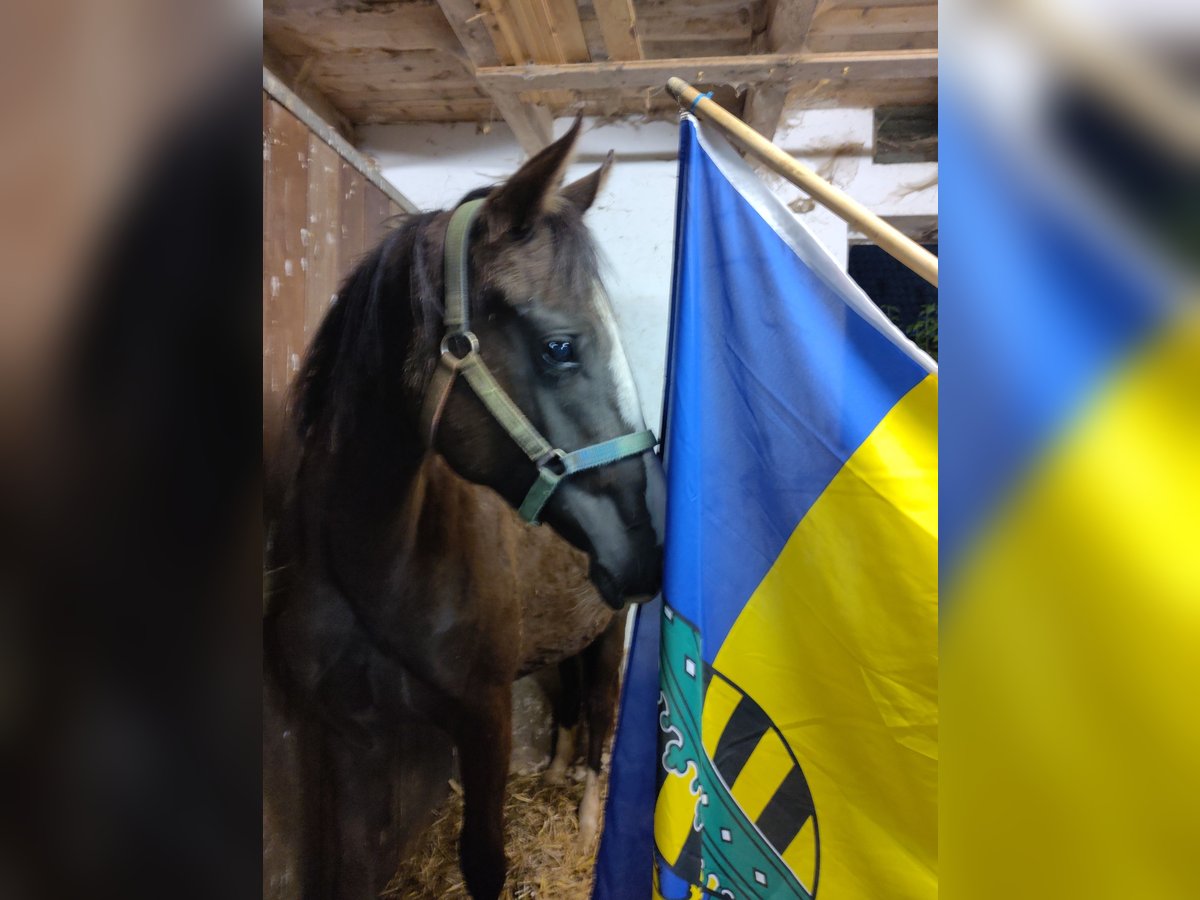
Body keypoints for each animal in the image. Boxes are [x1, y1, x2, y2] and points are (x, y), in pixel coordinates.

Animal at [264, 118, 663, 900]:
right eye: (560, 346)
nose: (648, 539)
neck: (380, 562)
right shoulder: (346, 735)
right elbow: (351, 866)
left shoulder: (485, 721)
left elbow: (484, 860)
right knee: (569, 702)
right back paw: (557, 773)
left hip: (609, 635)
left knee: (601, 715)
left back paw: (585, 822)